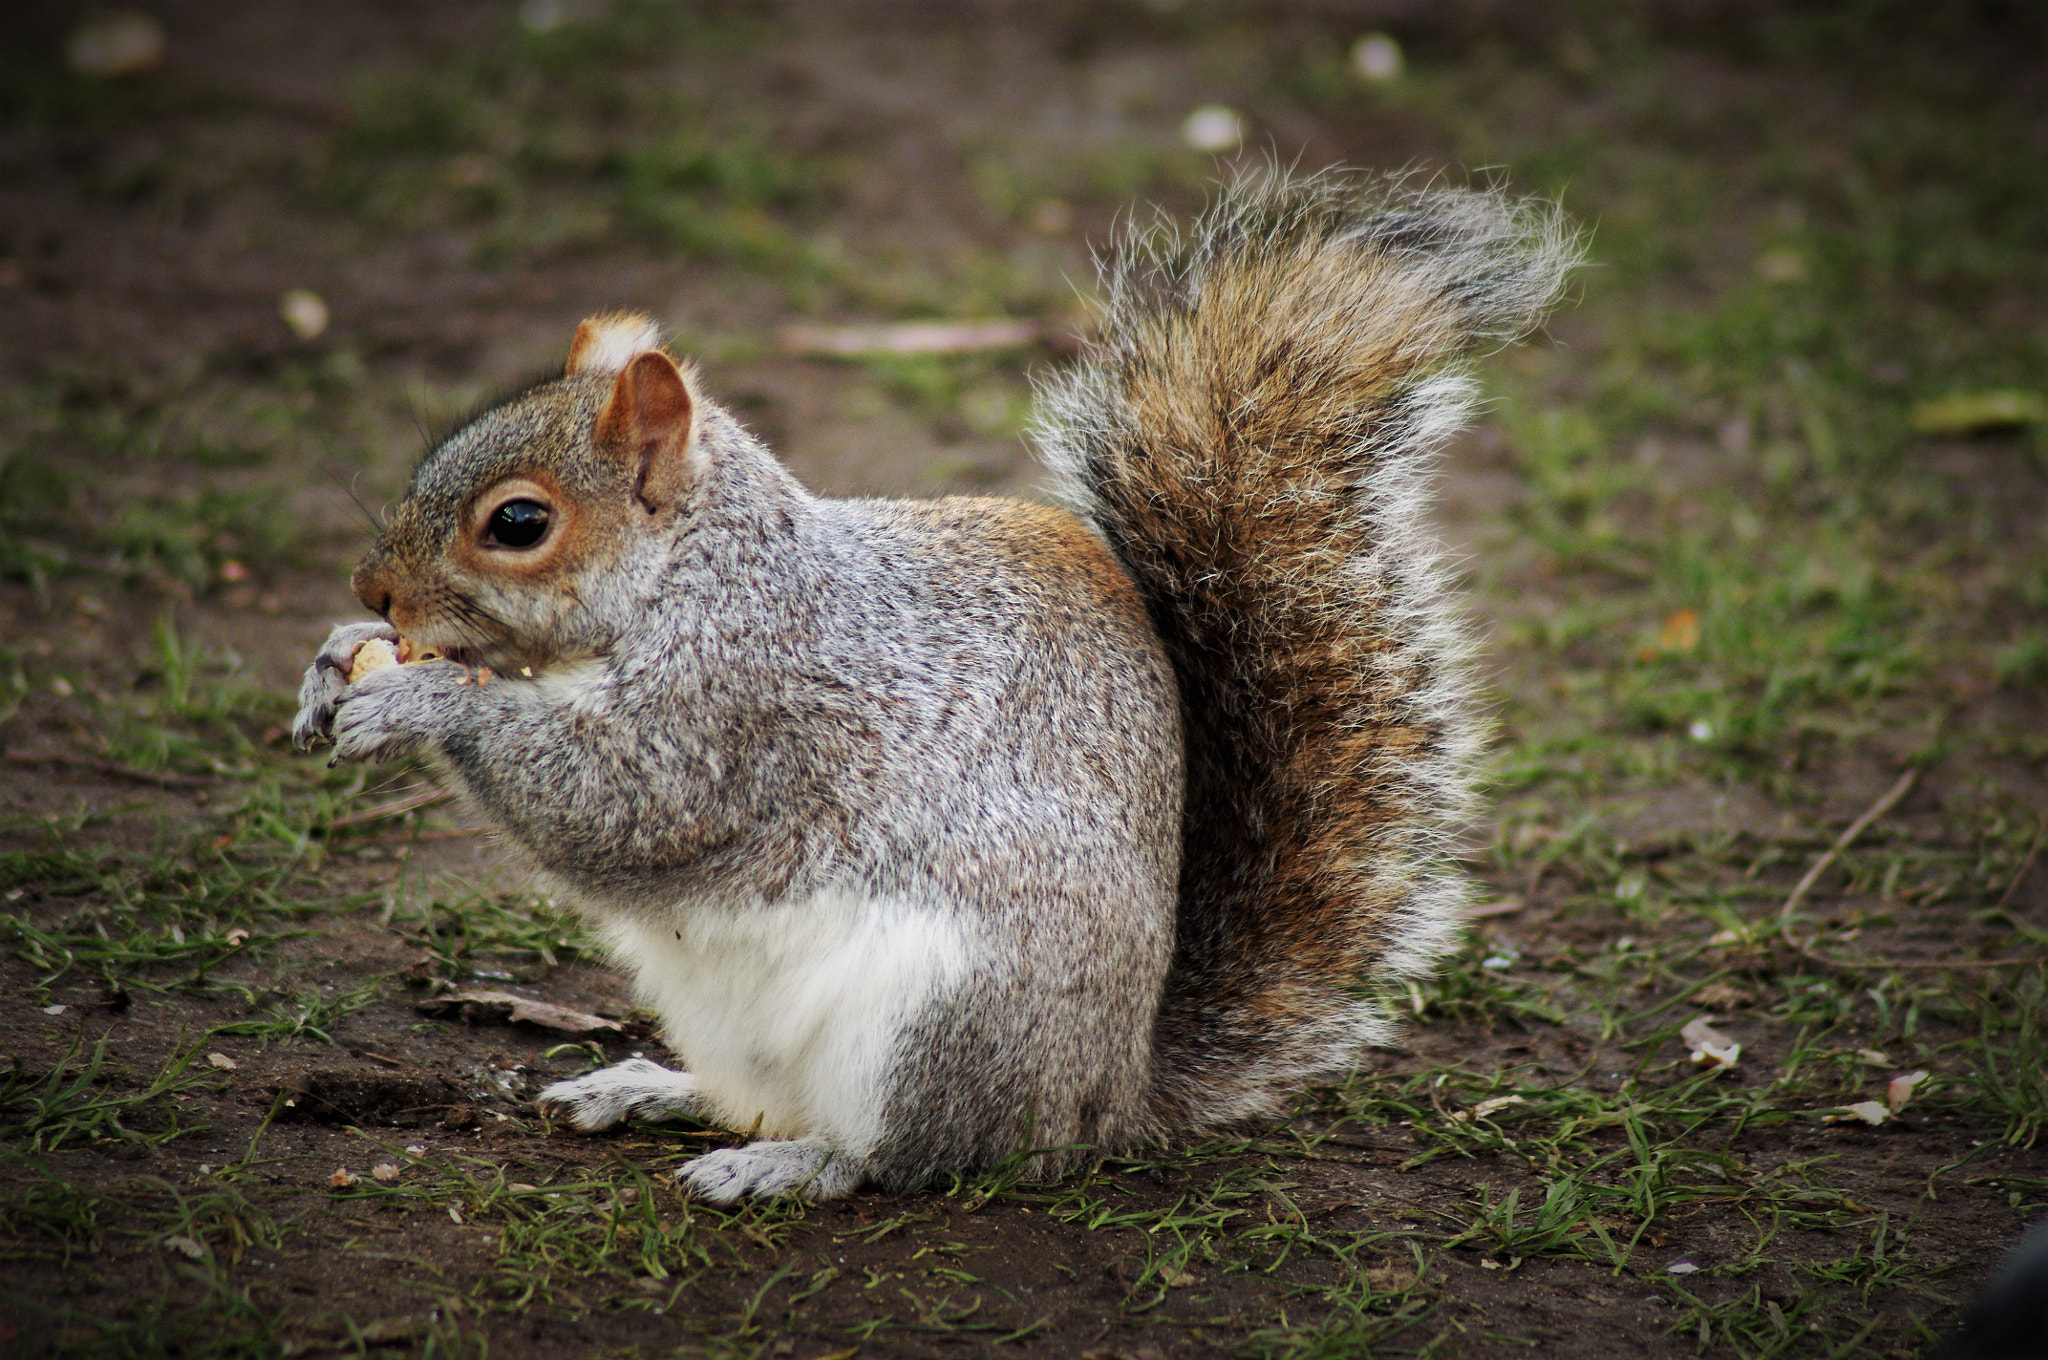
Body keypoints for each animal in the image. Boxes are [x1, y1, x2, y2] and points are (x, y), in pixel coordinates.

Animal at [288, 166, 1572, 1204]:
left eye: (518, 523)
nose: (372, 582)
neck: (699, 571)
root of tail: (1106, 1094)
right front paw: (336, 658)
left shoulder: (747, 703)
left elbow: (625, 803)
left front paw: (421, 699)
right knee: (754, 1089)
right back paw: (648, 1088)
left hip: (937, 1017)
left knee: (910, 1153)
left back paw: (790, 1164)